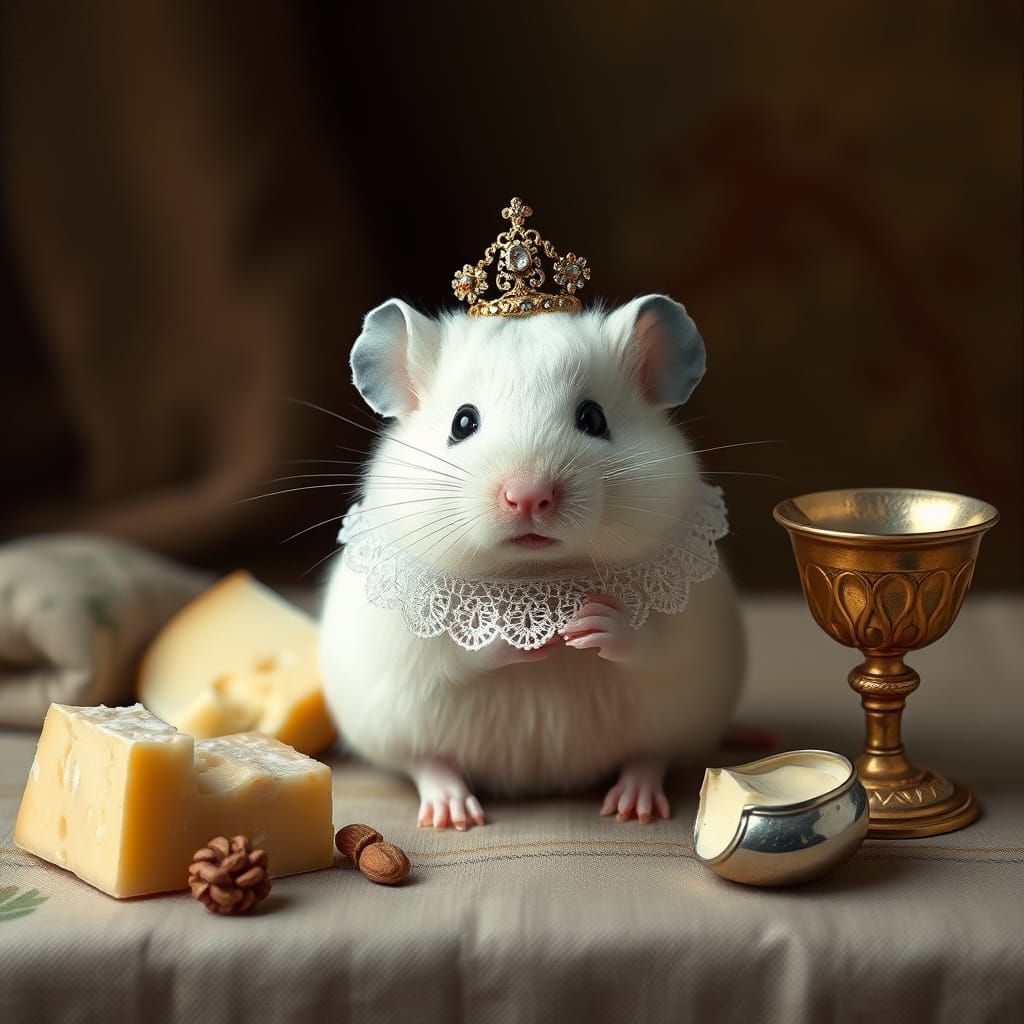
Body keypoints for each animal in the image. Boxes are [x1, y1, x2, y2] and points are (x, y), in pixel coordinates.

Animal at [319, 294, 745, 830]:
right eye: (462, 423)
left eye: (593, 418)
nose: (528, 496)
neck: (537, 580)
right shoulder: (413, 640)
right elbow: (459, 654)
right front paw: (516, 633)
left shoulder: (686, 625)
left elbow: (649, 643)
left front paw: (595, 622)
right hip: (389, 725)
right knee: (427, 762)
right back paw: (452, 814)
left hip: (681, 717)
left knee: (651, 755)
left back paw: (633, 806)